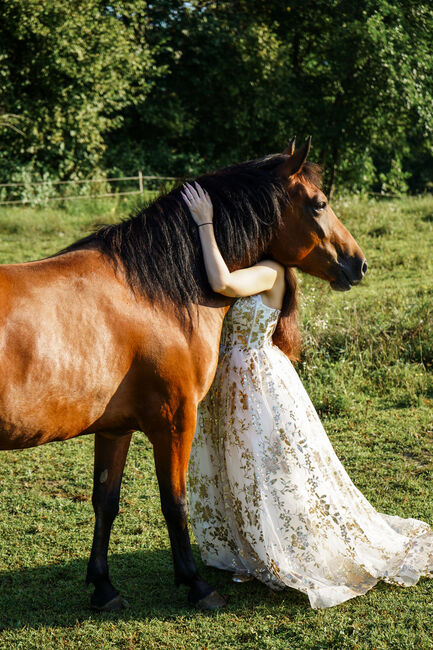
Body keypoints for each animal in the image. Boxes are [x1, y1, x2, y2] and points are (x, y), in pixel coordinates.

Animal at [0, 137, 364, 608]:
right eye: (319, 204)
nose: (359, 264)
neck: (152, 292)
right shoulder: (174, 421)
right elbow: (176, 504)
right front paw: (197, 585)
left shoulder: (115, 428)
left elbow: (105, 501)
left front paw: (103, 587)